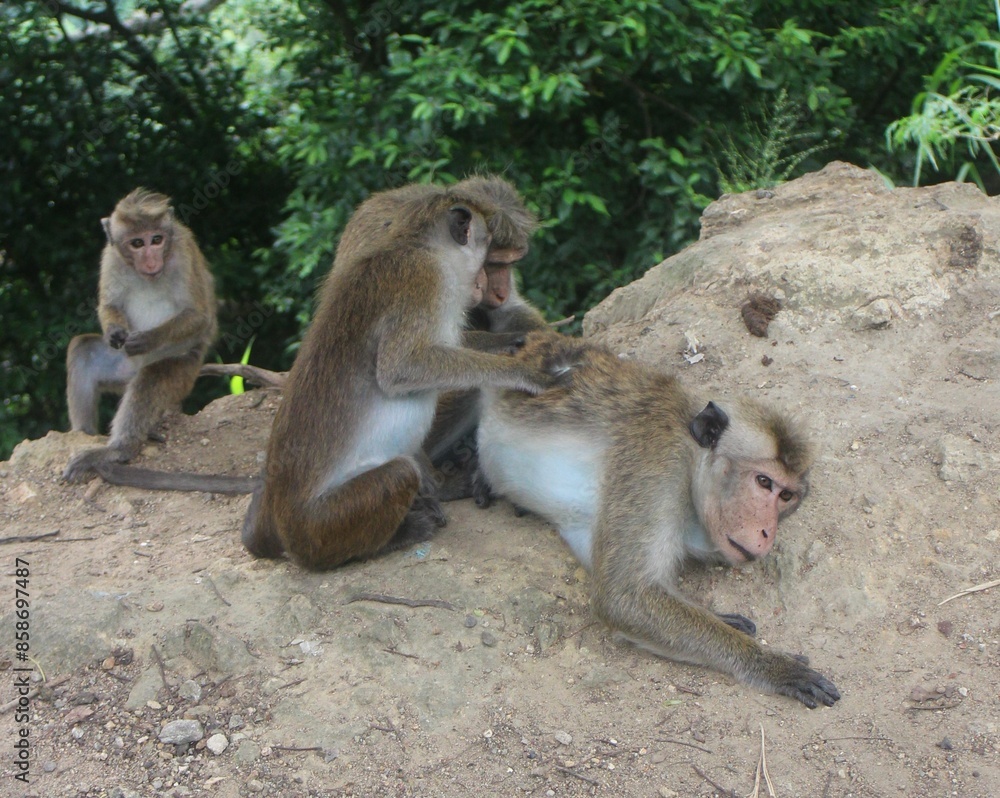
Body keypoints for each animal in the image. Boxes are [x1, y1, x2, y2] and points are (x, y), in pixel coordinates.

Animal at [63, 188, 217, 483]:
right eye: (137, 243)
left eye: (156, 239)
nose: (151, 259)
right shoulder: (111, 257)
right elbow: (109, 305)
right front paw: (114, 331)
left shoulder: (183, 253)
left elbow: (198, 316)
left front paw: (149, 339)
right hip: (120, 370)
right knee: (83, 351)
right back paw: (83, 433)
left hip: (183, 371)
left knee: (151, 379)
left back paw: (118, 449)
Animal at [240, 179, 554, 570]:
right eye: (487, 260)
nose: (489, 286)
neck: (416, 245)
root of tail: (280, 524)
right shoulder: (427, 280)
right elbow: (402, 367)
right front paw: (517, 364)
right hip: (324, 526)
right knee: (399, 473)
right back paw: (402, 530)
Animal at [473, 332, 841, 709]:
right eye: (764, 482)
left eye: (787, 496)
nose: (768, 533)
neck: (691, 454)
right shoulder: (657, 463)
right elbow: (625, 597)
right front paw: (772, 665)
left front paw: (721, 619)